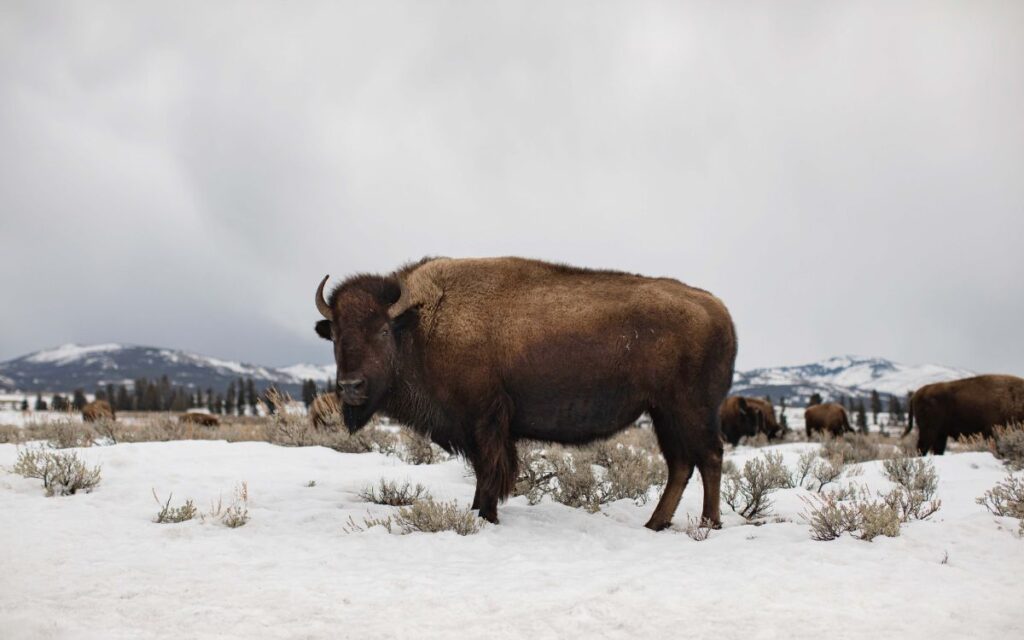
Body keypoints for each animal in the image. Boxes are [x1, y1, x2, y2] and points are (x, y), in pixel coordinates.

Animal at [314, 257, 737, 529]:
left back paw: (708, 523)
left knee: (709, 457)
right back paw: (656, 523)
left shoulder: (485, 421)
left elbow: (490, 471)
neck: (421, 323)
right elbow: (484, 471)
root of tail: (720, 310)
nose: (350, 387)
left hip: (690, 410)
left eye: (383, 330)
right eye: (335, 335)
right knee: (681, 464)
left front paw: (485, 515)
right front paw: (478, 511)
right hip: (663, 413)